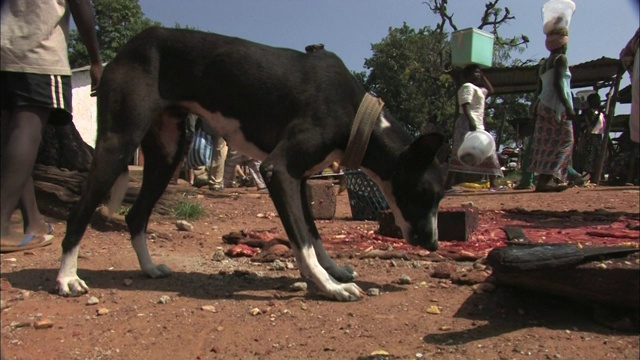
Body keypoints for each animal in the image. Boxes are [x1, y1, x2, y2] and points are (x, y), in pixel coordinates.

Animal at [56, 27, 444, 300]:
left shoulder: (300, 180)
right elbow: (303, 242)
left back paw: (149, 268)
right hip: (118, 144)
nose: (433, 245)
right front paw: (328, 286)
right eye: (427, 193)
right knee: (78, 212)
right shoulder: (279, 171)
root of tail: (126, 48)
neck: (356, 113)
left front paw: (333, 270)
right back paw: (67, 278)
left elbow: (314, 234)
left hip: (168, 154)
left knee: (136, 215)